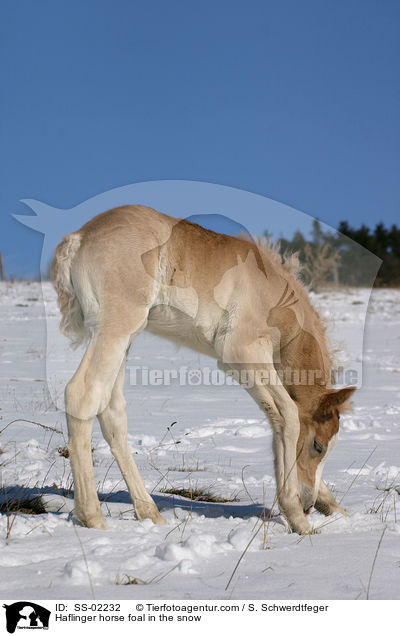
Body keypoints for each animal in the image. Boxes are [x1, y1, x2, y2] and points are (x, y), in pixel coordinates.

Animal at [51, 206, 354, 536]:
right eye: (318, 446)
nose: (310, 503)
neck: (273, 294)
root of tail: (80, 237)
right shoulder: (242, 354)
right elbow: (288, 414)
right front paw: (297, 516)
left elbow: (278, 420)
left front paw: (331, 506)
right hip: (114, 329)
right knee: (81, 394)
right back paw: (92, 516)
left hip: (124, 338)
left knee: (111, 410)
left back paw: (149, 512)